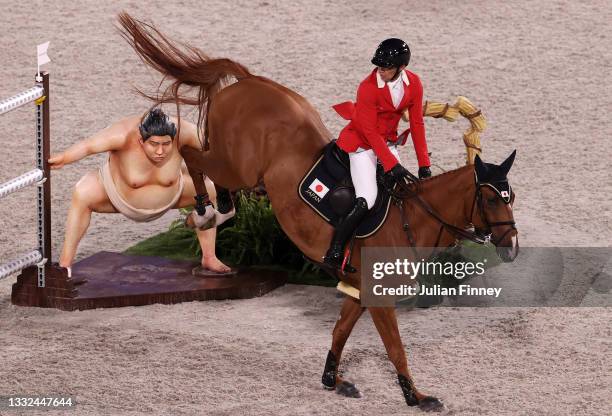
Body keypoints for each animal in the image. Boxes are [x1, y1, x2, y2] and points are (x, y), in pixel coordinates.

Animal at [118, 11, 516, 412]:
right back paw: (207, 211)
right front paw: (414, 396)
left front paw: (333, 379)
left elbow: (340, 331)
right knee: (191, 154)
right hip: (237, 166)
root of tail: (248, 82)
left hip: (242, 168)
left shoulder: (357, 288)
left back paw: (223, 207)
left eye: (511, 196)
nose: (511, 245)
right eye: (491, 200)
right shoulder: (379, 295)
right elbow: (395, 347)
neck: (413, 219)